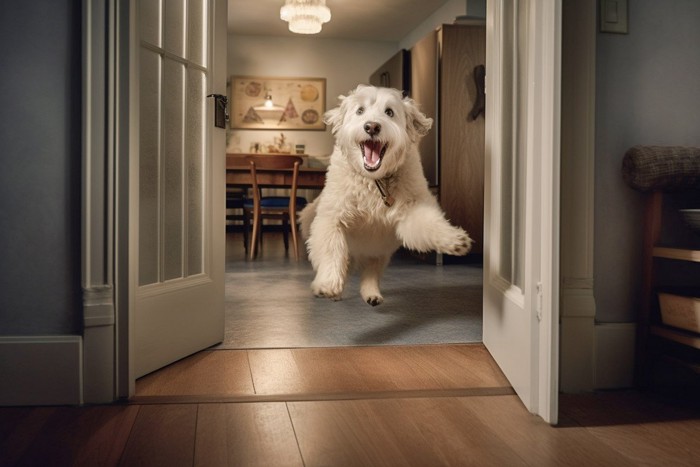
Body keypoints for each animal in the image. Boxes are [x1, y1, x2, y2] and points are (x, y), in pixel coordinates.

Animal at [298, 85, 474, 306]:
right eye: (360, 111)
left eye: (389, 112)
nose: (372, 127)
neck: (374, 181)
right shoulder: (332, 218)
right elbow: (332, 249)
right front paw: (329, 282)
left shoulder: (412, 210)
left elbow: (429, 224)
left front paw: (452, 239)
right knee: (344, 260)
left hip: (379, 251)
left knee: (371, 272)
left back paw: (371, 294)